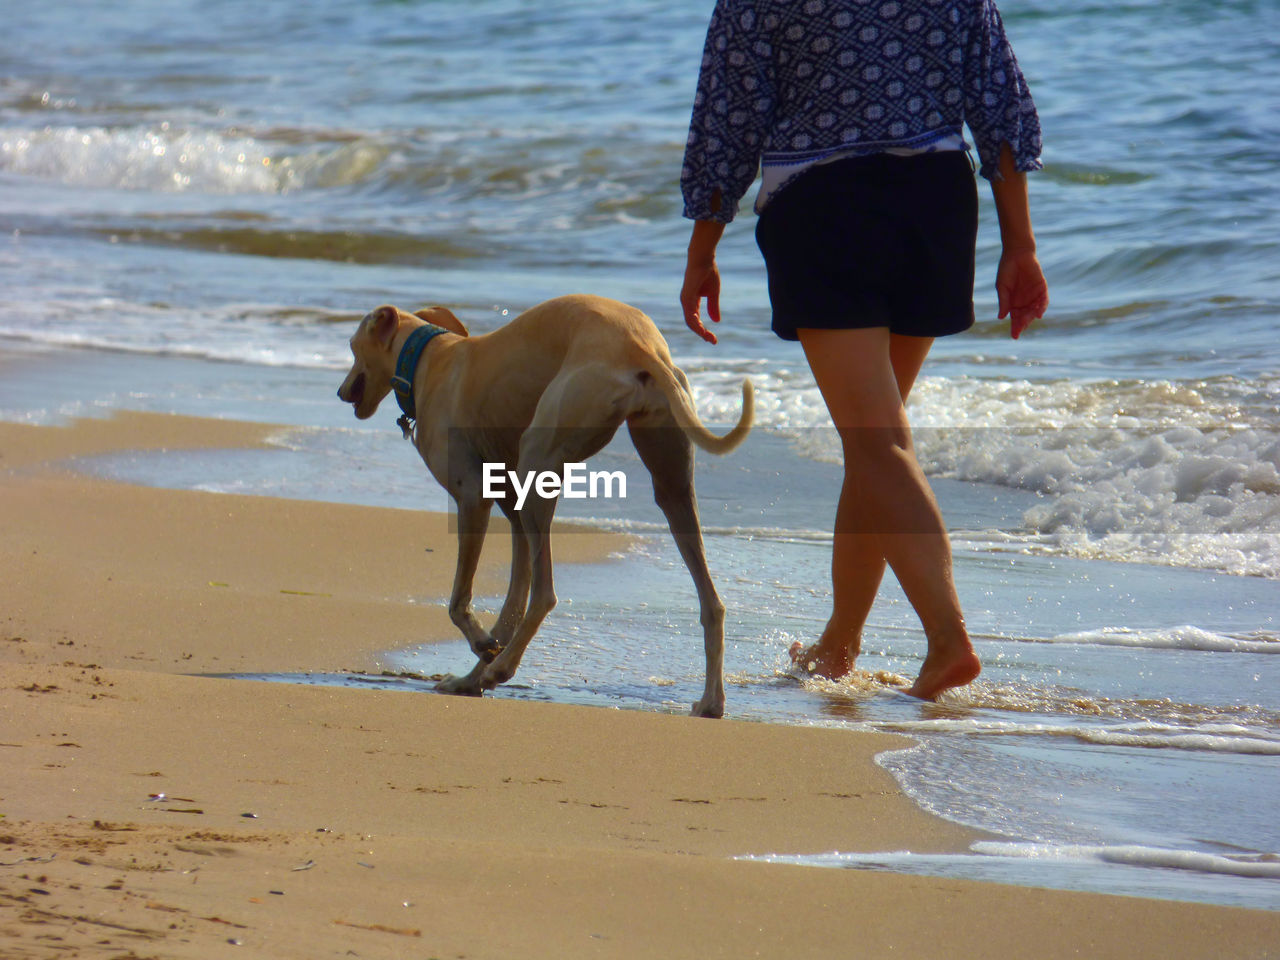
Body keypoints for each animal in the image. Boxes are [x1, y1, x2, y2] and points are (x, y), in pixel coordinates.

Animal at [337, 296, 747, 716]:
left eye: (352, 347)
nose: (340, 392)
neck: (426, 358)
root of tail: (639, 344)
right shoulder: (509, 502)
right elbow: (511, 603)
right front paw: (477, 667)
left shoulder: (473, 497)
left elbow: (460, 600)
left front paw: (482, 648)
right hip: (669, 478)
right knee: (711, 601)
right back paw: (711, 701)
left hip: (540, 451)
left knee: (545, 594)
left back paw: (500, 670)